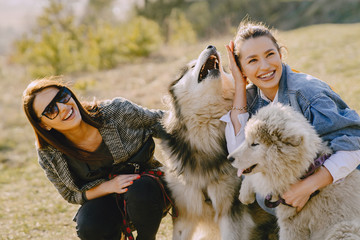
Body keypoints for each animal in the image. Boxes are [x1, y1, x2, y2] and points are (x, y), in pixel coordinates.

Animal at [228, 103, 360, 240]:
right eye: (246, 139)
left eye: (255, 144)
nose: (229, 158)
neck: (307, 169)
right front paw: (244, 195)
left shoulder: (292, 223)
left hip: (341, 230)